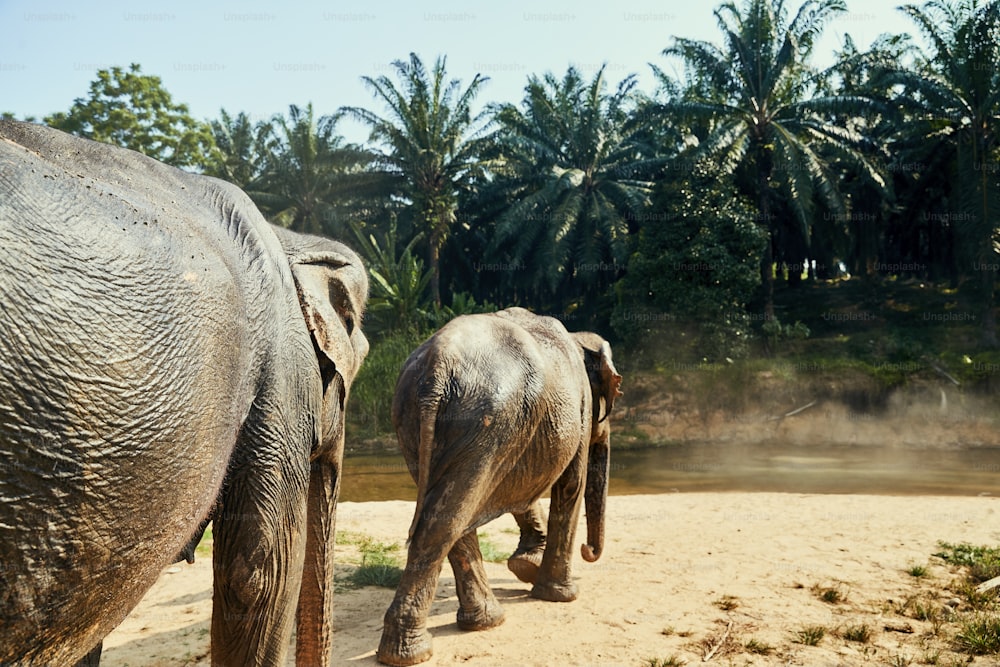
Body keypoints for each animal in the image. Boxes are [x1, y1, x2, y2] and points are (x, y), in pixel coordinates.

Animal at [376, 308, 620, 667]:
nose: (589, 551)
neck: (578, 338)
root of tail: (439, 365)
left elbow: (525, 488)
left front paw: (526, 567)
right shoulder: (582, 405)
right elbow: (570, 484)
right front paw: (562, 595)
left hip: (418, 419)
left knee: (451, 513)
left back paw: (483, 622)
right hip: (486, 420)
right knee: (447, 520)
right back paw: (412, 653)